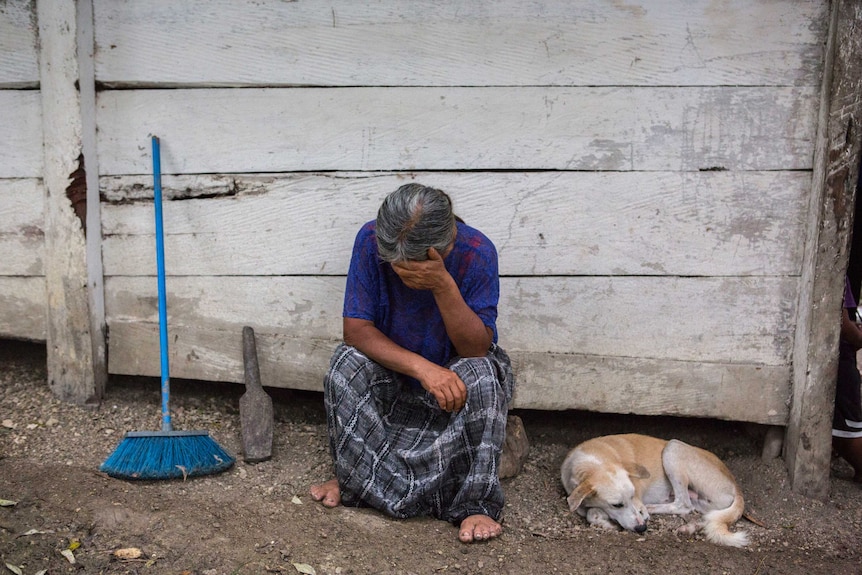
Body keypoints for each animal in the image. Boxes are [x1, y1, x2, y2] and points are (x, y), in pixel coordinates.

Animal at [560, 432, 748, 548]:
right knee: (704, 516)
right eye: (616, 505)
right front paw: (604, 520)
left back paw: (653, 508)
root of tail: (736, 485)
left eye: (633, 495)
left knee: (683, 504)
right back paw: (688, 528)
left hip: (673, 448)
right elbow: (590, 513)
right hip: (704, 504)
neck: (593, 462)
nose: (642, 528)